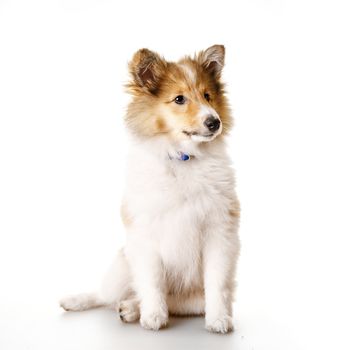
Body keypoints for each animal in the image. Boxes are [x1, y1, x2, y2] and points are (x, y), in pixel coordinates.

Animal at [60, 44, 241, 334]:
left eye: (207, 96)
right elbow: (152, 281)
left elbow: (217, 282)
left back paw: (130, 309)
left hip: (191, 299)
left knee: (168, 300)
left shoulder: (219, 231)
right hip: (122, 262)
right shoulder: (145, 232)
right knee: (107, 294)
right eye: (179, 99)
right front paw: (153, 317)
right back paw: (77, 301)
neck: (182, 159)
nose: (215, 122)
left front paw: (219, 320)